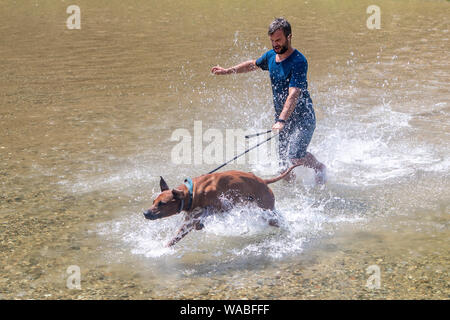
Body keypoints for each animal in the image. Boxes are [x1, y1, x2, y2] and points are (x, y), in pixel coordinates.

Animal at [143, 164, 298, 246]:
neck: (192, 192)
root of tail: (264, 181)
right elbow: (178, 235)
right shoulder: (190, 219)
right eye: (153, 202)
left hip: (266, 210)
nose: (145, 213)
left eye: (162, 203)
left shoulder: (224, 206)